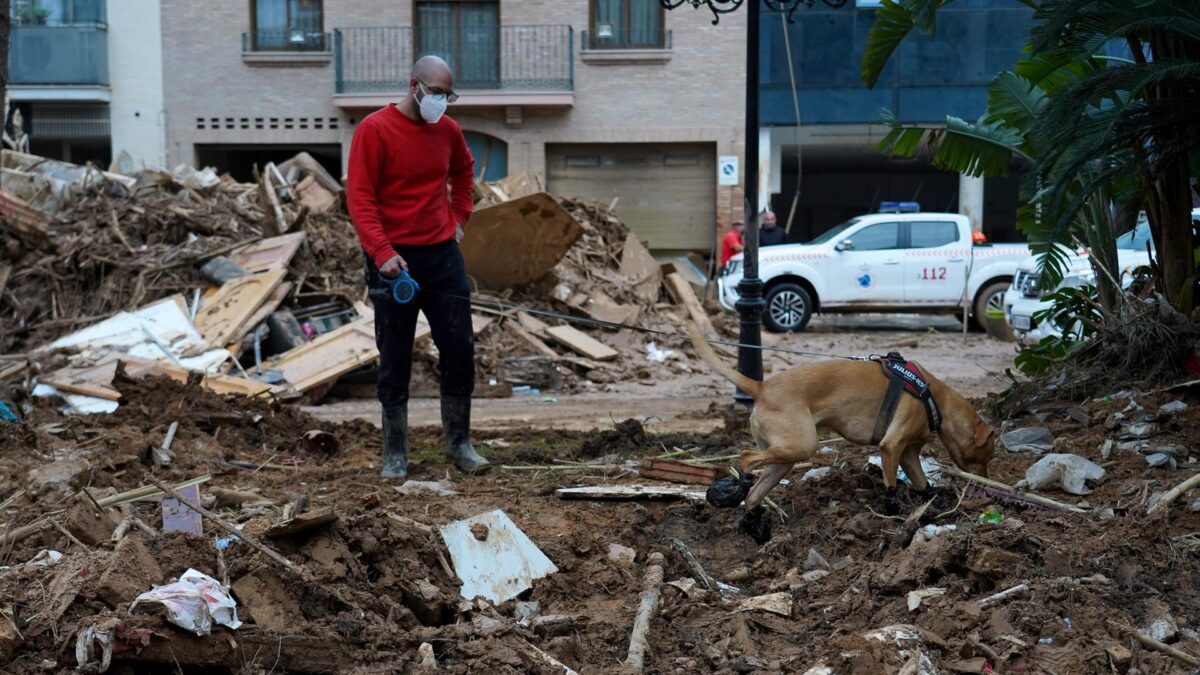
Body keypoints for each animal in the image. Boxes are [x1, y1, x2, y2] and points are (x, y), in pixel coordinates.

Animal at [691, 324, 998, 511]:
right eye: (986, 457)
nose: (985, 483)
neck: (934, 397)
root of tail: (761, 387)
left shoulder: (910, 453)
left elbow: (921, 481)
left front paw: (933, 497)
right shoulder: (891, 446)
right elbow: (890, 484)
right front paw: (893, 507)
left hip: (786, 457)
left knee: (755, 494)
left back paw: (755, 524)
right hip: (800, 445)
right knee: (745, 458)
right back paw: (738, 483)